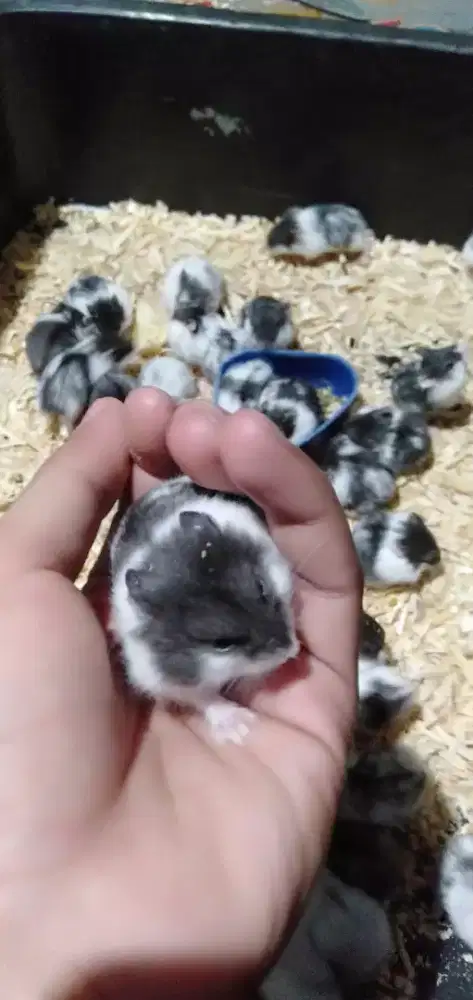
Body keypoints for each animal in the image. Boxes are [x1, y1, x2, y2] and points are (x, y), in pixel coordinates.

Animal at [109, 476, 299, 743]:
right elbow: (205, 698)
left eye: (262, 588)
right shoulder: (165, 680)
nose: (293, 652)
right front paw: (242, 729)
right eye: (222, 643)